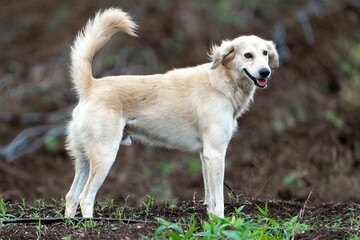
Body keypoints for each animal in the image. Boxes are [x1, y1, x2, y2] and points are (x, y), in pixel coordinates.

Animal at [64, 7, 278, 218]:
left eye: (265, 53)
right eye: (248, 55)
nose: (265, 72)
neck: (221, 83)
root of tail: (91, 85)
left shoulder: (205, 155)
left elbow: (209, 197)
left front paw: (211, 221)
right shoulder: (215, 153)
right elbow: (219, 202)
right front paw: (221, 222)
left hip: (84, 158)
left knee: (71, 196)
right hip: (105, 155)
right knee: (85, 197)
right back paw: (89, 224)